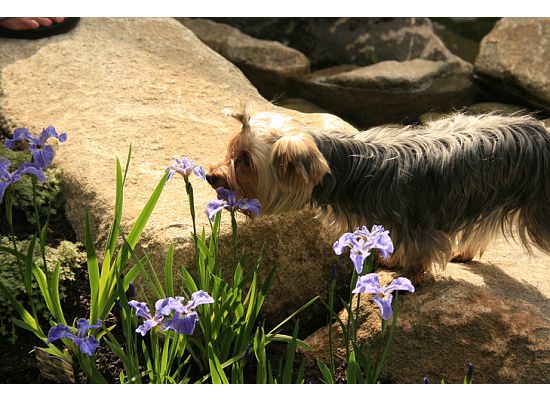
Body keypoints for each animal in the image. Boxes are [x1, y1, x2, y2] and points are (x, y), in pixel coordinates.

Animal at [207, 104, 550, 282]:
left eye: (245, 162)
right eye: (230, 151)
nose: (211, 176)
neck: (350, 169)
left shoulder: (418, 226)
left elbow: (419, 255)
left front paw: (410, 275)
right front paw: (393, 261)